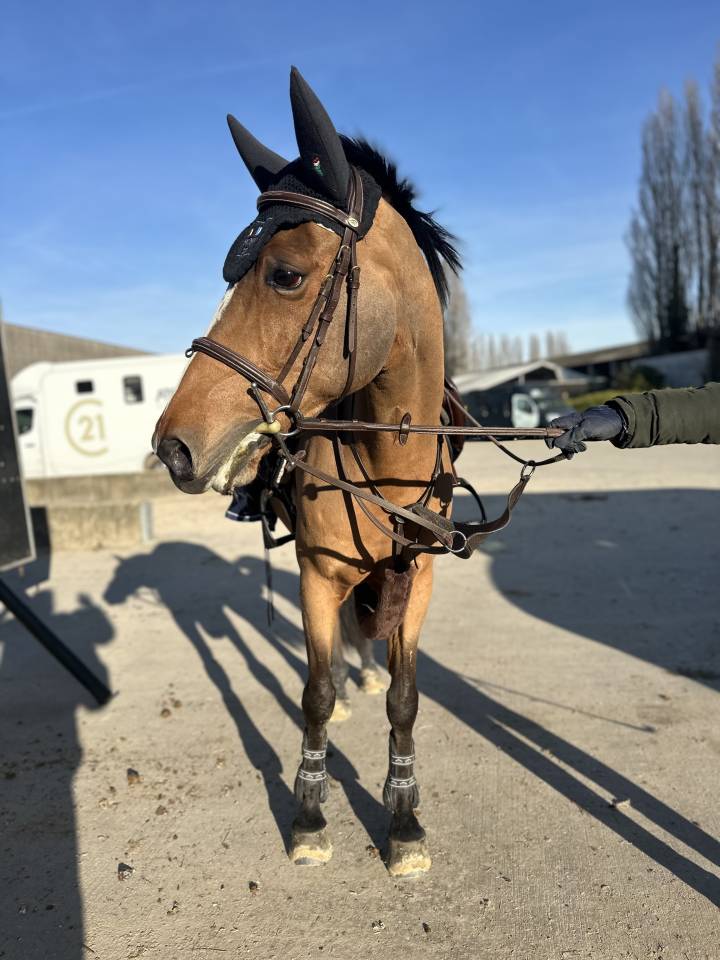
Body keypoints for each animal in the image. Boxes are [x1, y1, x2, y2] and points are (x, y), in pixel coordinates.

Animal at [153, 66, 462, 878]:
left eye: (286, 274)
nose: (172, 445)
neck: (387, 465)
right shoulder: (316, 574)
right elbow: (315, 692)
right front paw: (311, 812)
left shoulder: (418, 578)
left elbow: (405, 698)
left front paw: (404, 821)